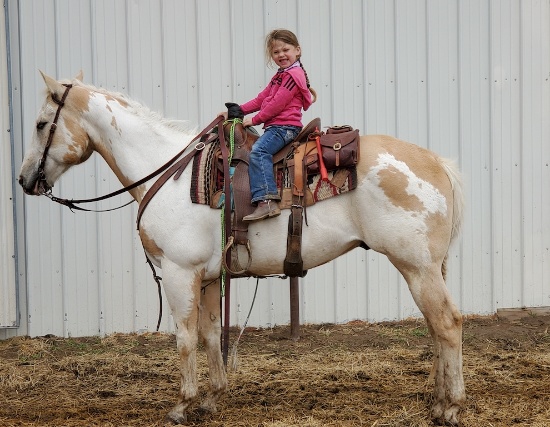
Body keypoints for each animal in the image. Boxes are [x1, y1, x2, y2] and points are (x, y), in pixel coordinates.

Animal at [20, 72, 470, 426]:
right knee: (436, 327)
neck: (170, 173)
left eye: (42, 124)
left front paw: (182, 405)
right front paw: (212, 397)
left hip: (416, 266)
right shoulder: (206, 277)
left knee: (447, 324)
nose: (26, 180)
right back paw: (436, 401)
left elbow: (185, 337)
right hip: (427, 268)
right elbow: (209, 333)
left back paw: (451, 407)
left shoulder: (179, 273)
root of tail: (437, 163)